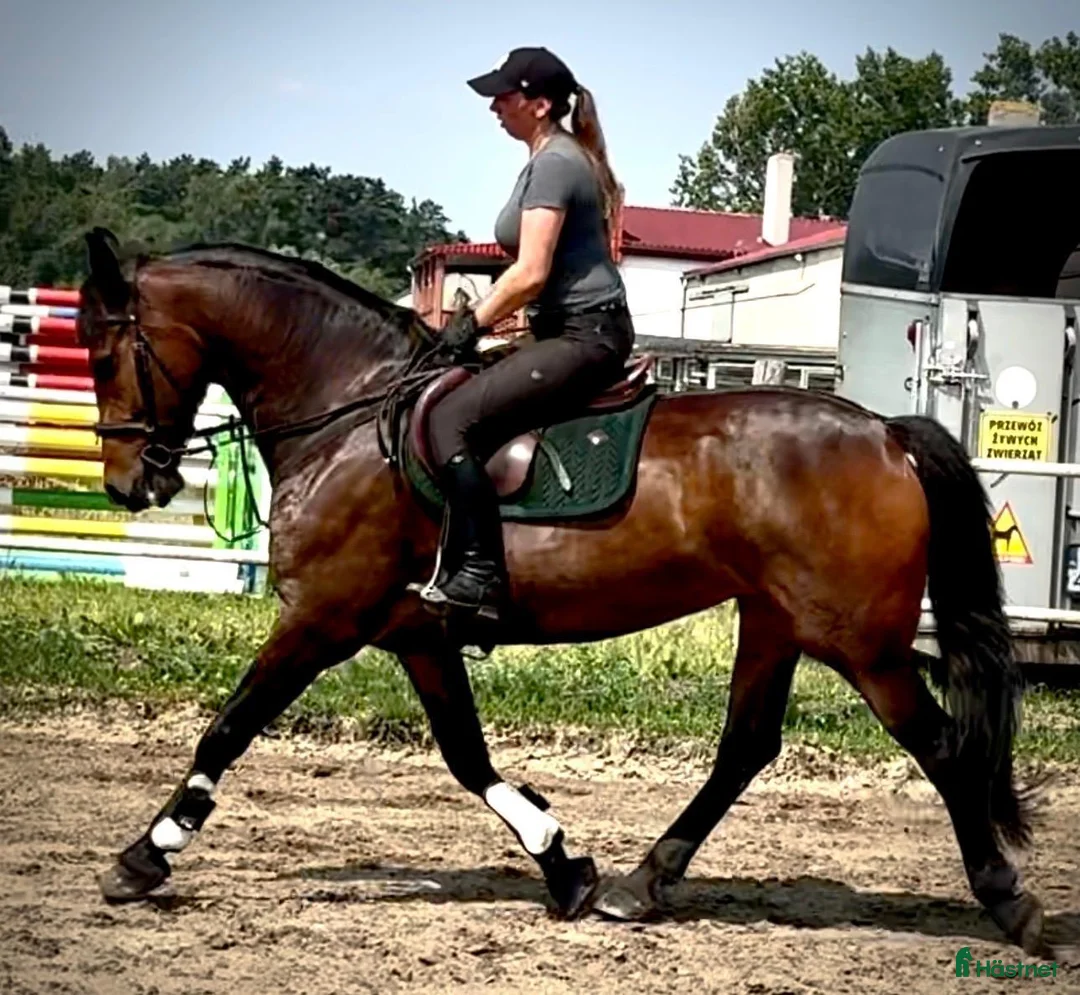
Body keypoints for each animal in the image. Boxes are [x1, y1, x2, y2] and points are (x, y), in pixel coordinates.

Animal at [76, 226, 1048, 956]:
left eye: (102, 351)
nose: (129, 484)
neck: (350, 411)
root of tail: (885, 432)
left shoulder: (323, 617)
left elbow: (229, 725)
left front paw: (145, 853)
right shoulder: (416, 632)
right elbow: (467, 756)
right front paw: (563, 864)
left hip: (861, 643)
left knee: (941, 746)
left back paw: (1008, 899)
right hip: (775, 622)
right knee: (745, 746)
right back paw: (641, 881)